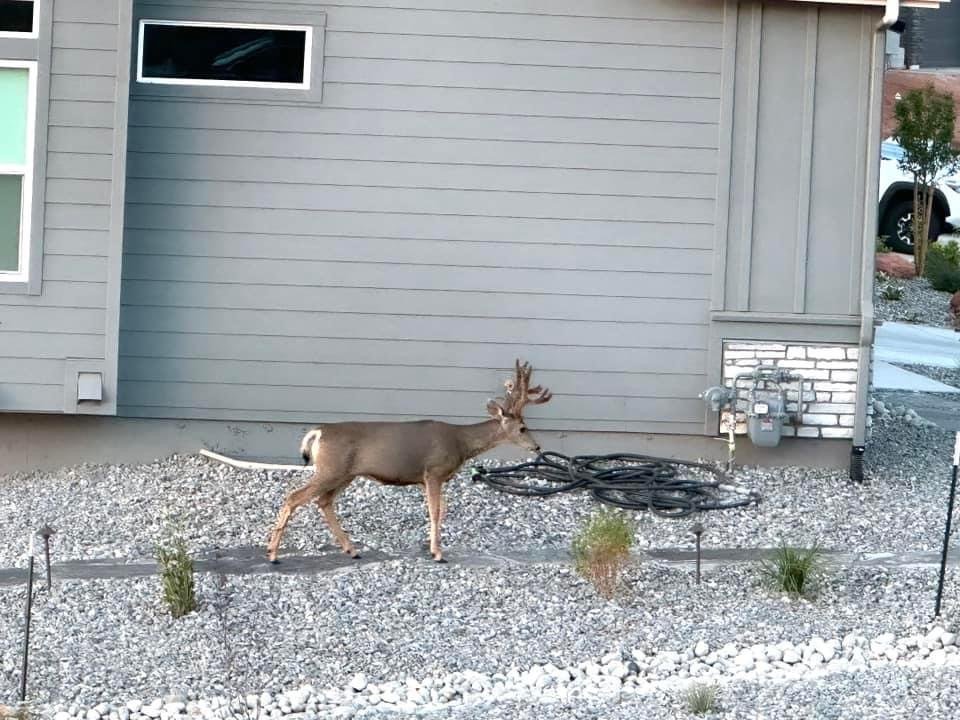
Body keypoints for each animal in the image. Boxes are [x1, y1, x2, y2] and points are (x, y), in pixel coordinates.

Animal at [266, 360, 552, 564]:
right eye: (523, 428)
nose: (538, 447)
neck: (460, 443)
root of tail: (318, 432)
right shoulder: (433, 471)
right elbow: (435, 511)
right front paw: (438, 553)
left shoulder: (431, 479)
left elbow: (441, 510)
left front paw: (433, 547)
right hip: (330, 468)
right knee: (294, 497)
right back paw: (273, 554)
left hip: (345, 473)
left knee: (323, 501)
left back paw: (352, 549)